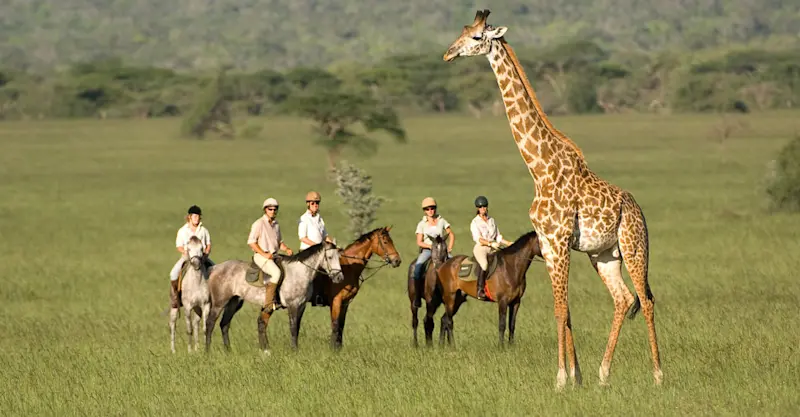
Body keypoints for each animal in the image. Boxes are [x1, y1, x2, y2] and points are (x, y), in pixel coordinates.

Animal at [443, 10, 662, 390]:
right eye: (463, 30)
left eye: (476, 37)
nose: (448, 53)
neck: (539, 167)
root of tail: (637, 209)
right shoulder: (547, 242)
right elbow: (565, 309)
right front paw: (576, 376)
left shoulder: (558, 240)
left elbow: (561, 309)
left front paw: (561, 378)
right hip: (603, 255)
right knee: (623, 299)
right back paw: (604, 374)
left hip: (634, 245)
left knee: (646, 300)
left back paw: (658, 375)